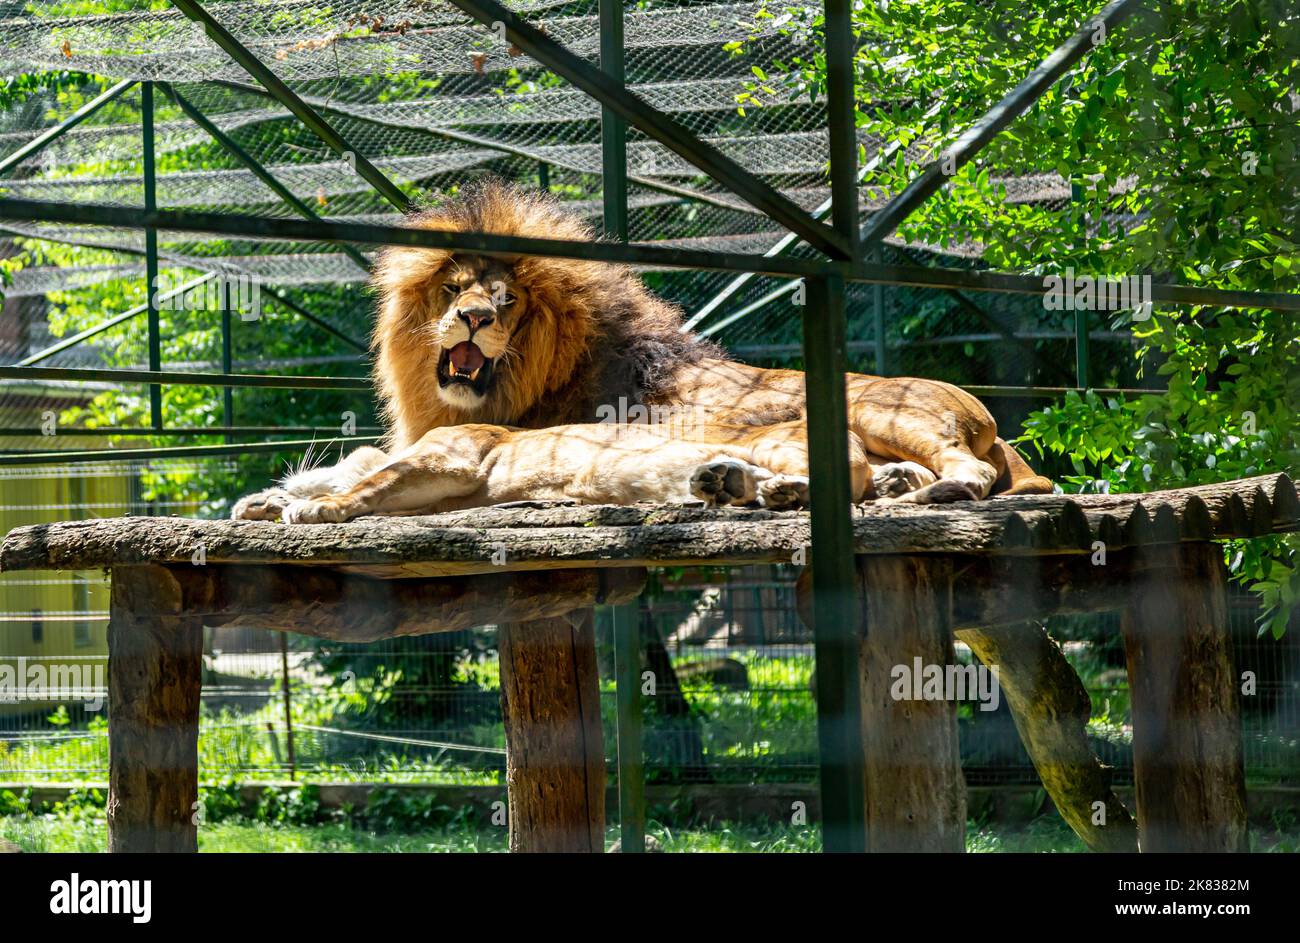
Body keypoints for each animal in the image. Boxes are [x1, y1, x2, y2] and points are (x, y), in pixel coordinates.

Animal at [231, 178, 1045, 522]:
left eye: (508, 300)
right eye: (455, 286)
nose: (471, 317)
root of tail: (987, 417)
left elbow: (366, 470)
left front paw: (296, 499)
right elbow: (359, 465)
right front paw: (272, 497)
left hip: (880, 408)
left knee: (961, 471)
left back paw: (925, 494)